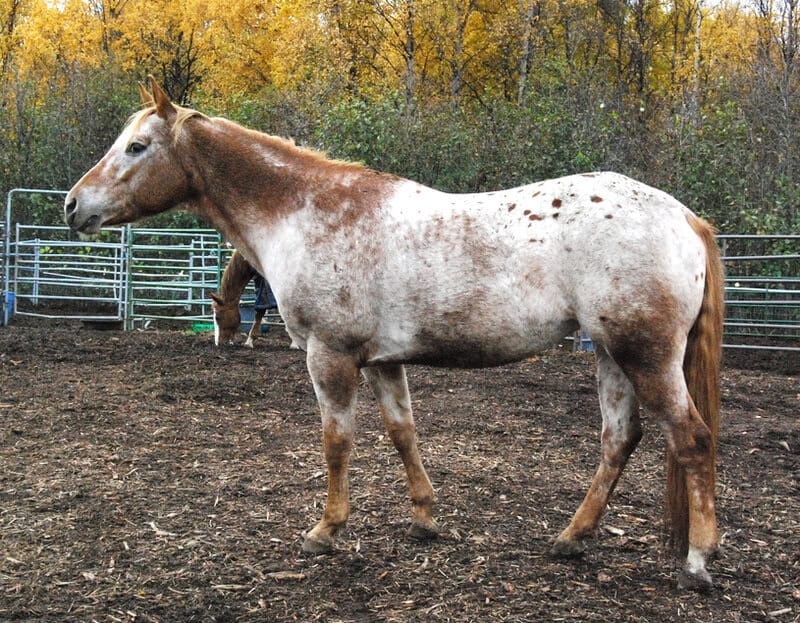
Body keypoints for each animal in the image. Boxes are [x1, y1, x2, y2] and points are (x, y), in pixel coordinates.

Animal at [64, 79, 724, 591]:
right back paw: (570, 537)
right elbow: (403, 433)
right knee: (620, 440)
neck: (308, 210)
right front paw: (424, 519)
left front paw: (325, 531)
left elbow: (337, 443)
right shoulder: (382, 361)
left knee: (691, 439)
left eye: (137, 146)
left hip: (646, 357)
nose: (73, 205)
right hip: (612, 356)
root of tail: (684, 217)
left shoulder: (330, 357)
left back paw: (696, 562)